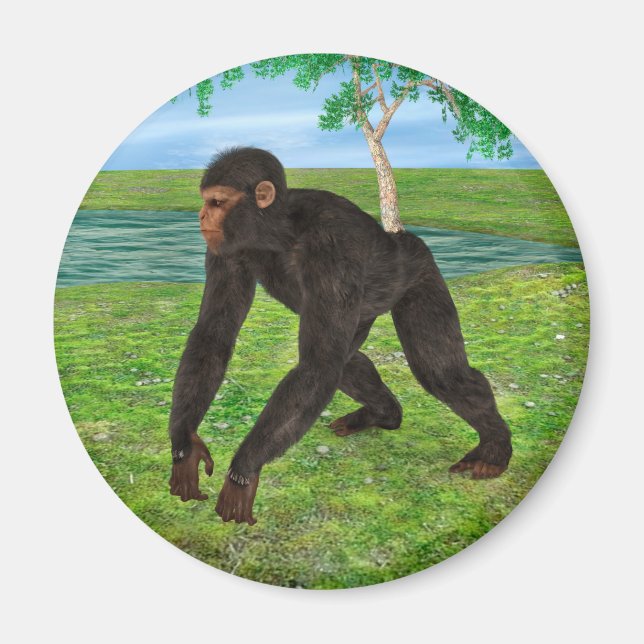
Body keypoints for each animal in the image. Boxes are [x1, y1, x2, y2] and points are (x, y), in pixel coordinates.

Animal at [168, 147, 512, 525]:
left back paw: (494, 448)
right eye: (207, 201)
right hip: (367, 311)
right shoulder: (225, 251)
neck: (278, 231)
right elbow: (214, 335)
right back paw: (384, 414)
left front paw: (243, 472)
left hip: (420, 270)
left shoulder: (332, 250)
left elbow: (318, 365)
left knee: (440, 372)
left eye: (217, 201)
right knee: (346, 362)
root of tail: (402, 236)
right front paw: (185, 448)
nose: (201, 215)